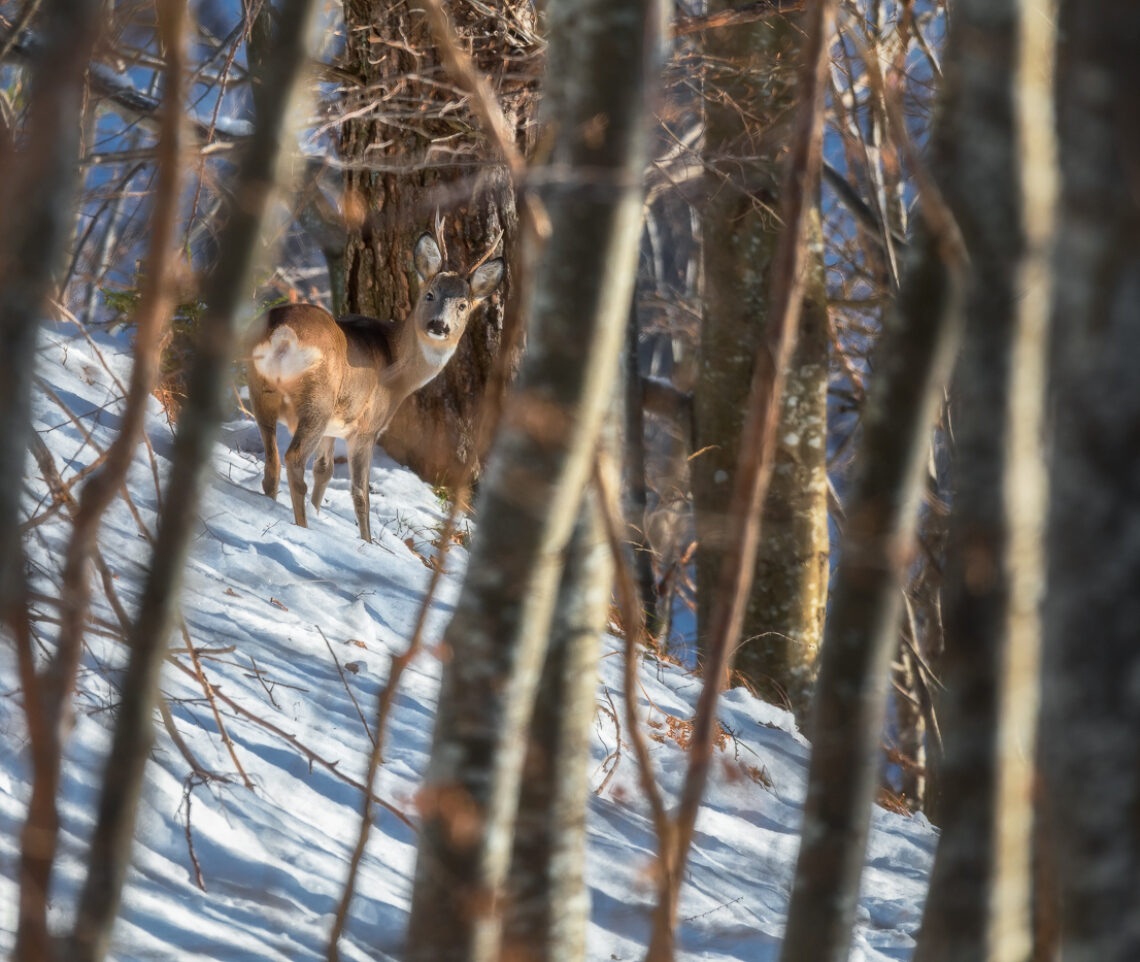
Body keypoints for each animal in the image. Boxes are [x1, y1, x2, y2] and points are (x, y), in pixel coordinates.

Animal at [245, 231, 503, 540]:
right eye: (430, 294)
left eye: (462, 305)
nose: (439, 326)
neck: (398, 368)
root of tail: (283, 334)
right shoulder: (367, 427)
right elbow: (360, 494)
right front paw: (367, 541)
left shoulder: (335, 427)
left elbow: (324, 470)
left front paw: (320, 513)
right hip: (317, 402)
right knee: (293, 459)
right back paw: (303, 528)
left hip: (260, 388)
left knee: (272, 463)